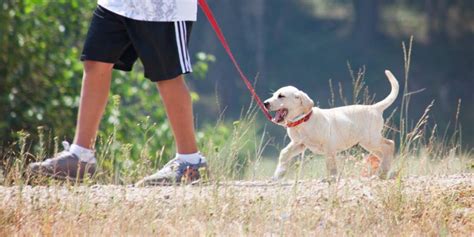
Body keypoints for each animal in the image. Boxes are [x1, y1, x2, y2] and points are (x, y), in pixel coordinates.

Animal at [264, 70, 398, 180]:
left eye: (281, 96)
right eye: (273, 95)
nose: (265, 103)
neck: (303, 121)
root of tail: (374, 107)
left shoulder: (329, 145)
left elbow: (330, 163)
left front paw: (332, 178)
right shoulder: (299, 144)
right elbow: (284, 153)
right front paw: (278, 174)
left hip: (371, 139)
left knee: (389, 144)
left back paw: (382, 172)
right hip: (368, 143)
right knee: (383, 153)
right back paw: (386, 172)